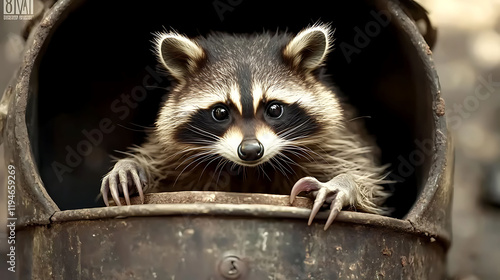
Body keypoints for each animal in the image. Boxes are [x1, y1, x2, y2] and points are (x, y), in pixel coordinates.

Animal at [100, 24, 390, 230]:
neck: (251, 169)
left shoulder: (337, 137)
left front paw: (344, 182)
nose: (251, 150)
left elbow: (365, 176)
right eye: (220, 112)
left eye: (274, 109)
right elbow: (162, 164)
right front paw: (134, 165)